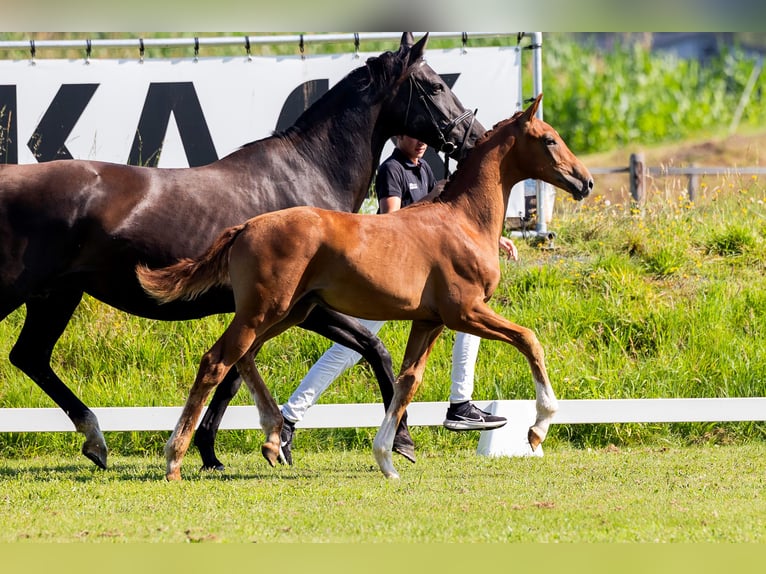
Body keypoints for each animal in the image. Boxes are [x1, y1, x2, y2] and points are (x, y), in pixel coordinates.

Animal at [0, 32, 486, 472]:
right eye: (435, 86)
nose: (475, 137)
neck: (308, 172)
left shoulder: (271, 308)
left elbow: (235, 374)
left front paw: (216, 450)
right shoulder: (303, 306)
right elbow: (374, 349)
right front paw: (400, 441)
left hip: (56, 296)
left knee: (29, 357)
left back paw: (96, 442)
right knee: (27, 356)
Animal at [136, 95, 592, 482]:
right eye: (549, 139)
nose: (585, 182)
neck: (462, 220)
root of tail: (246, 226)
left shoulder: (429, 321)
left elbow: (407, 381)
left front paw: (387, 459)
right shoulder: (465, 311)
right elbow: (529, 339)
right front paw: (537, 429)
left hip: (288, 312)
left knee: (242, 358)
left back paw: (272, 435)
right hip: (264, 311)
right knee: (216, 361)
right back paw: (176, 459)